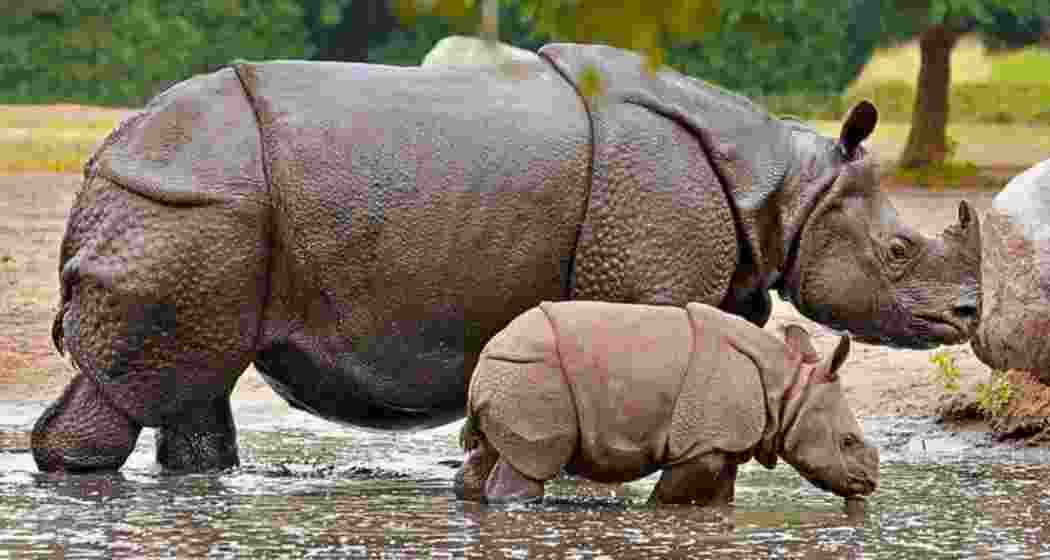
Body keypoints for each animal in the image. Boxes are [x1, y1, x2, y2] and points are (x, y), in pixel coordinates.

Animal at [34, 43, 978, 474]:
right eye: (899, 250)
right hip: (190, 207)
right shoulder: (646, 275)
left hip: (197, 210)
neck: (784, 186)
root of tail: (104, 156)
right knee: (145, 385)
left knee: (193, 379)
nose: (969, 315)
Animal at [454, 300, 879, 506]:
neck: (787, 391)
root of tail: (486, 359)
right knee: (531, 464)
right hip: (533, 374)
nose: (870, 484)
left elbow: (718, 499)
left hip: (515, 371)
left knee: (492, 452)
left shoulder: (720, 441)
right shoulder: (701, 446)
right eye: (847, 441)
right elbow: (672, 496)